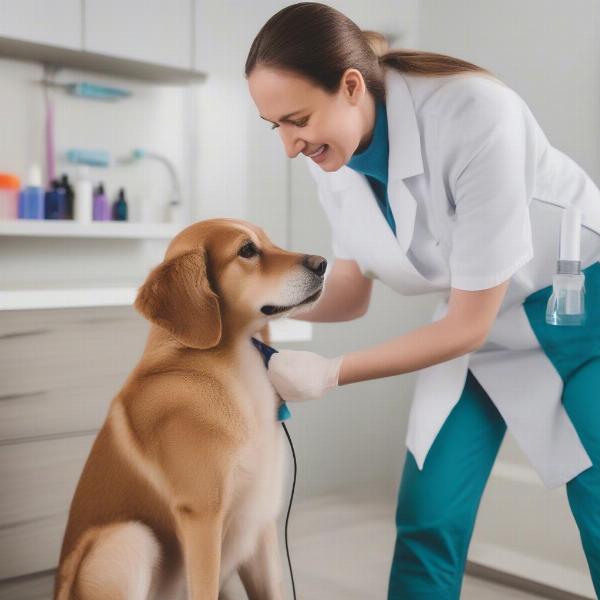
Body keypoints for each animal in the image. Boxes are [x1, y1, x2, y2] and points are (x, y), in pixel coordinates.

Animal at [55, 219, 328, 600]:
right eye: (247, 250)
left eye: (271, 242)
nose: (323, 263)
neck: (232, 369)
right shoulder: (203, 517)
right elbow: (204, 588)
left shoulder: (259, 524)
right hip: (130, 538)